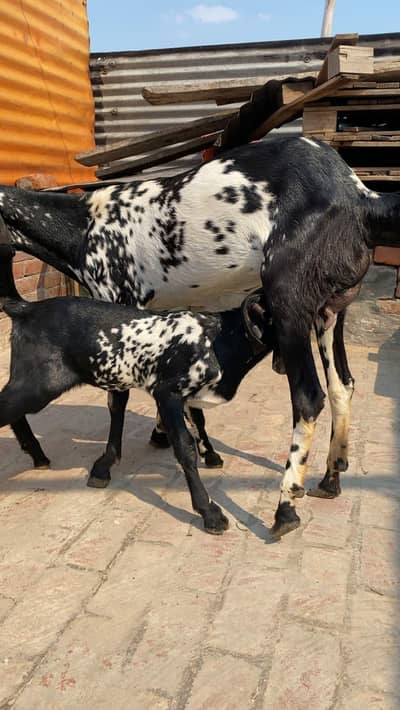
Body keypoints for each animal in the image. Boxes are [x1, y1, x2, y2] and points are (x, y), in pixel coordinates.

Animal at [0, 239, 275, 534]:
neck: (220, 338)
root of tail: (26, 309)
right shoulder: (167, 394)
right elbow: (184, 448)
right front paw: (209, 512)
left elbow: (198, 420)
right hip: (39, 384)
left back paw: (38, 454)